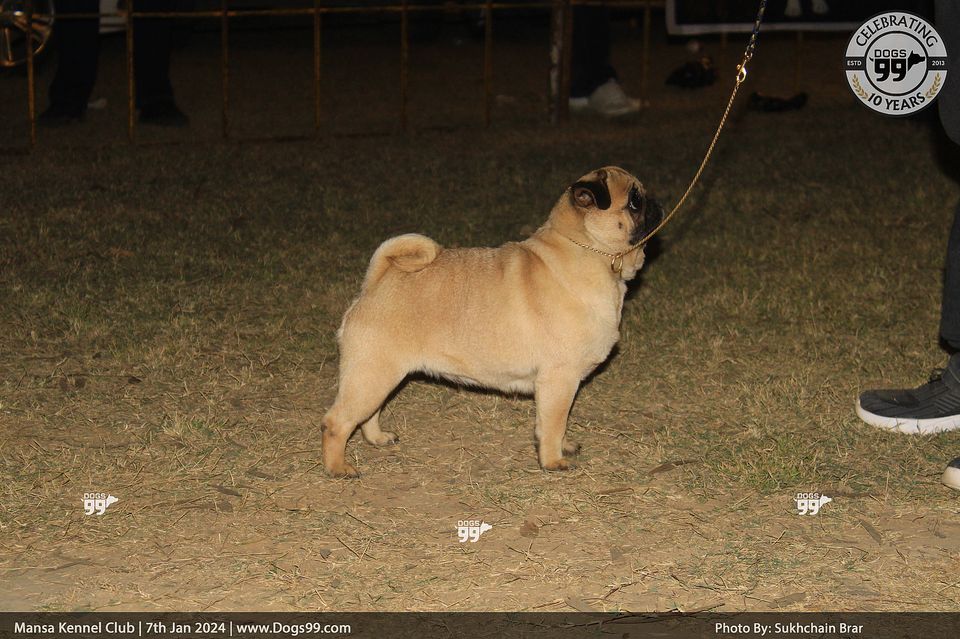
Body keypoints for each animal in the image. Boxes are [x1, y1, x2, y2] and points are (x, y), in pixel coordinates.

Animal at [321, 167, 663, 477]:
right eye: (634, 201)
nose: (656, 203)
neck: (592, 253)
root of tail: (377, 281)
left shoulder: (561, 384)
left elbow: (556, 422)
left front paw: (563, 446)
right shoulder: (559, 379)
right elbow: (554, 423)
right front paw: (552, 460)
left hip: (380, 376)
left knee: (368, 414)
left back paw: (377, 438)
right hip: (372, 374)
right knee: (337, 422)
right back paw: (337, 468)